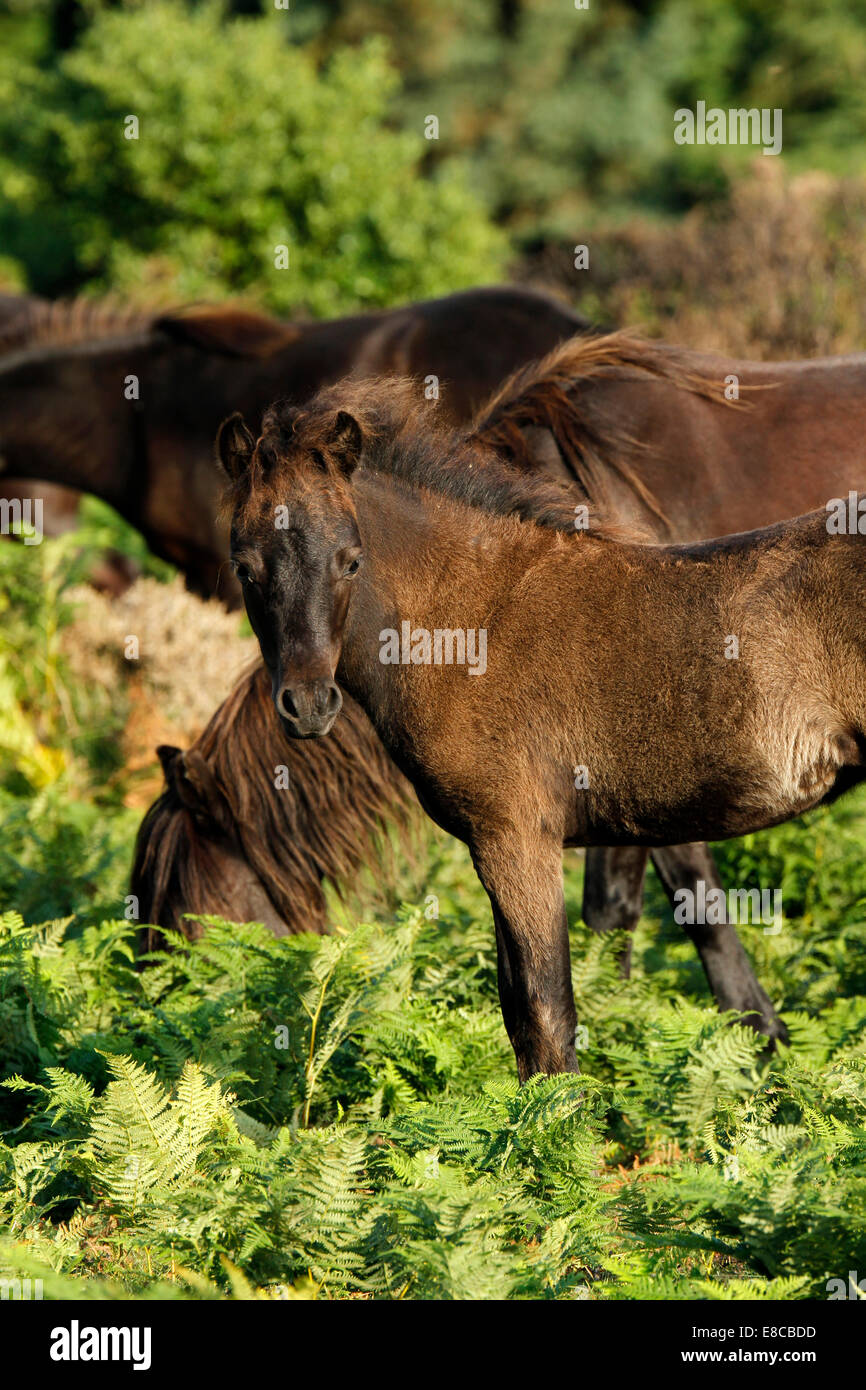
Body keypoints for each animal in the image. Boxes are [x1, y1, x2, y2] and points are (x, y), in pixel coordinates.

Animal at [219, 378, 866, 1073]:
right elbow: (520, 1014)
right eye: (245, 568)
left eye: (350, 560)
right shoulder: (497, 843)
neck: (470, 621)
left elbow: (547, 1011)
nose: (309, 704)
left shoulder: (516, 836)